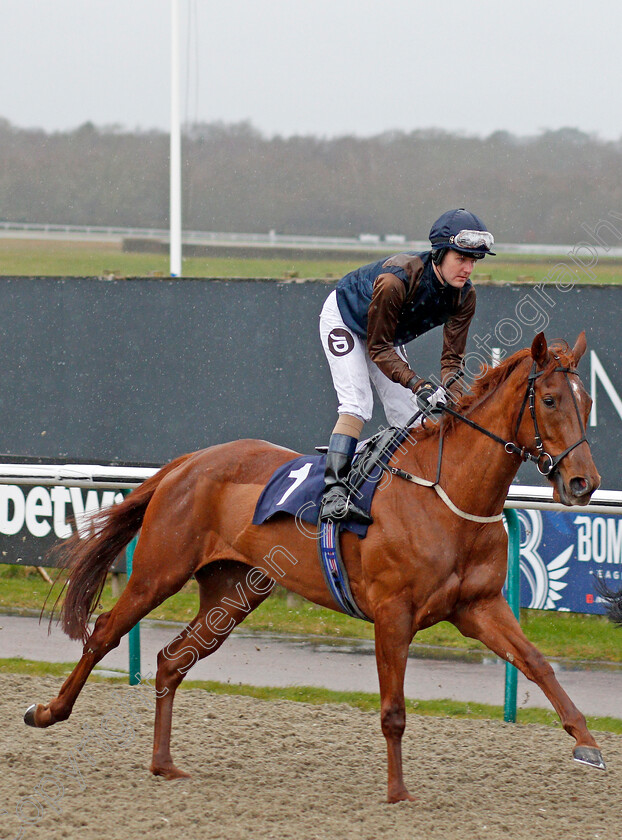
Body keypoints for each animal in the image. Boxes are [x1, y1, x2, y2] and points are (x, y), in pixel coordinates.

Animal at [25, 332, 604, 804]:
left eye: (588, 401)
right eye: (549, 400)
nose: (584, 483)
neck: (448, 494)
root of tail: (188, 462)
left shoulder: (478, 605)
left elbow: (538, 663)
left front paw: (588, 744)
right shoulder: (394, 614)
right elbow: (394, 710)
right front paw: (397, 792)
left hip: (231, 592)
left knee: (172, 659)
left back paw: (164, 764)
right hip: (158, 570)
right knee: (105, 632)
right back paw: (49, 712)